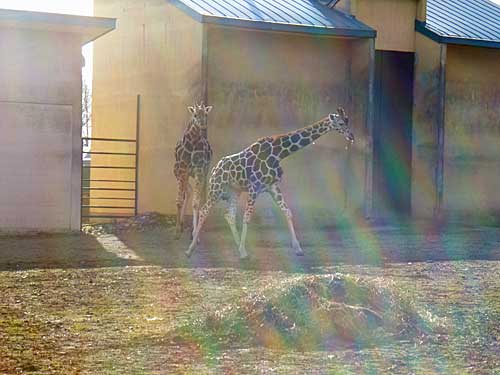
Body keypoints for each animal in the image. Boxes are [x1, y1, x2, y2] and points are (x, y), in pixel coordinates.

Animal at [174, 101, 213, 239]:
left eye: (205, 114)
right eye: (195, 114)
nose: (203, 125)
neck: (192, 143)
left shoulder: (199, 170)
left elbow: (196, 203)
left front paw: (195, 234)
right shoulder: (182, 168)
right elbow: (179, 200)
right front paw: (177, 230)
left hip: (203, 173)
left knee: (195, 195)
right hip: (178, 172)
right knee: (188, 192)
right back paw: (181, 224)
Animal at [186, 106, 354, 258]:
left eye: (347, 120)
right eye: (340, 123)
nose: (351, 136)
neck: (279, 153)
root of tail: (215, 168)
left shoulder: (272, 186)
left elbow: (288, 212)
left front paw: (298, 248)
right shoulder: (255, 187)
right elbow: (247, 217)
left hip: (234, 192)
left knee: (229, 215)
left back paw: (238, 248)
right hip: (216, 189)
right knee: (204, 210)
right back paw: (191, 248)